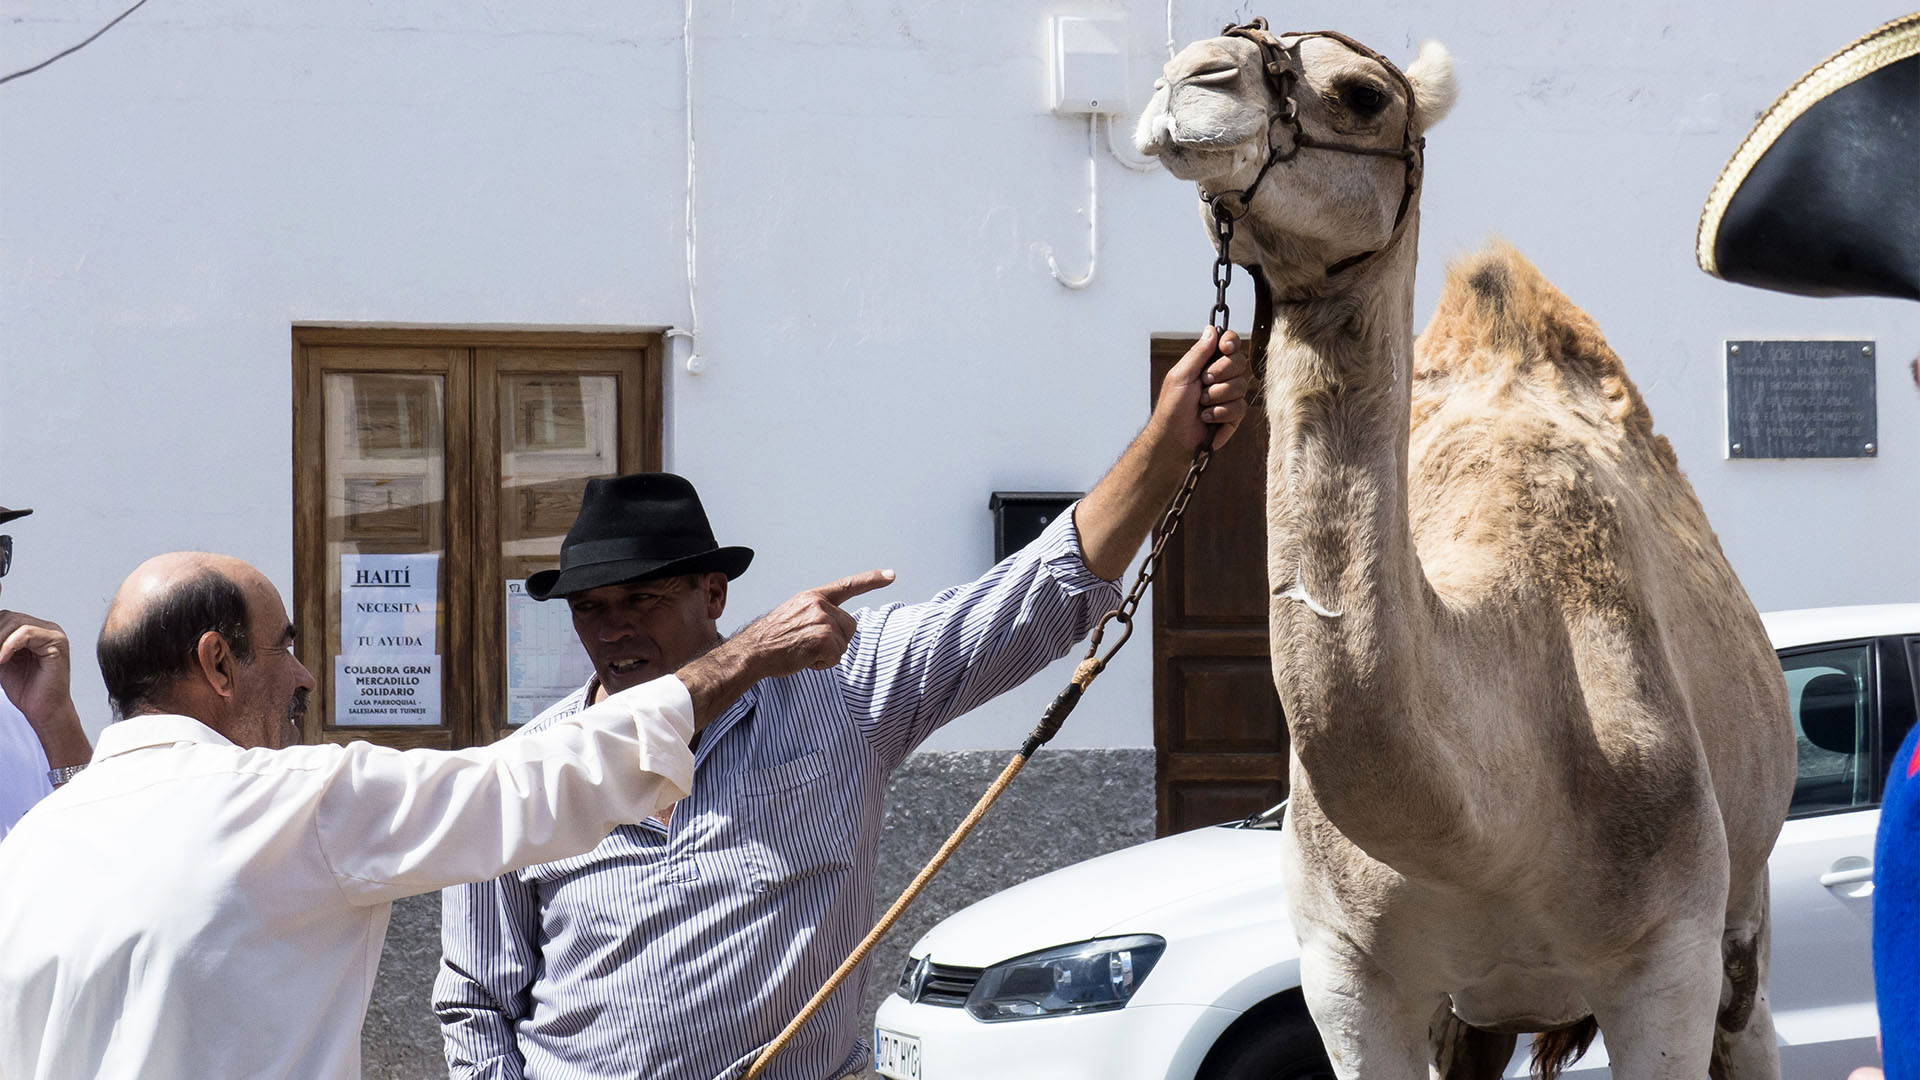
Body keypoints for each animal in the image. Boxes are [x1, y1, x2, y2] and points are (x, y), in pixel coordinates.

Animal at [1136, 18, 1797, 1076]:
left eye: (1361, 94)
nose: (1189, 77)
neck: (1493, 824)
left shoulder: (1667, 961)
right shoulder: (1348, 972)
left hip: (1745, 905)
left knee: (1754, 1019)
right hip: (1481, 1007)